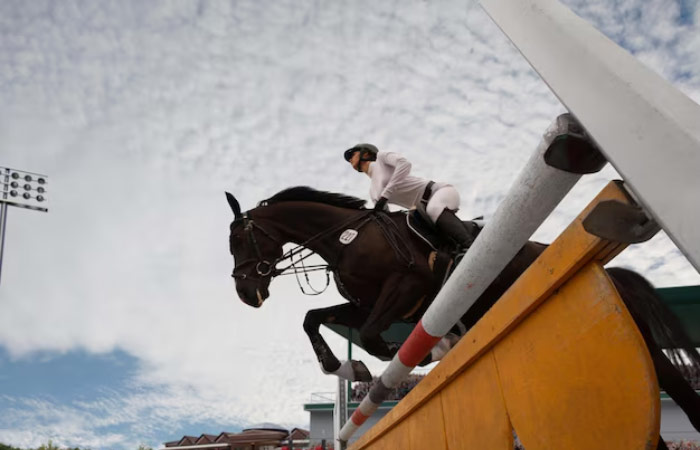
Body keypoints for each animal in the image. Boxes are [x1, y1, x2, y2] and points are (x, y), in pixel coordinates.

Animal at [228, 186, 700, 446]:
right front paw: (343, 365)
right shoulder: (365, 303)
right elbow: (315, 317)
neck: (348, 238)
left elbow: (376, 336)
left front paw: (429, 349)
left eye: (237, 242)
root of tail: (611, 273)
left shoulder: (405, 288)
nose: (246, 294)